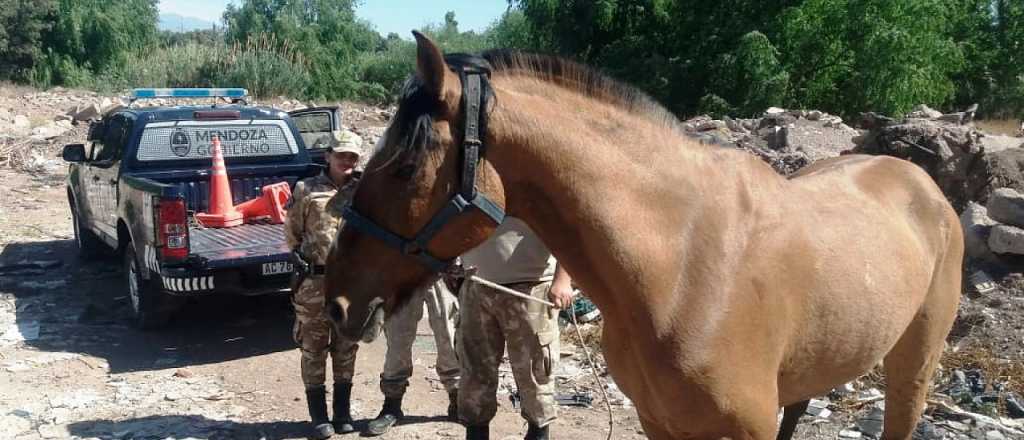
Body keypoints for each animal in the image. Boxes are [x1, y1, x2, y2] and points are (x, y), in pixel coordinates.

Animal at [323, 31, 962, 440]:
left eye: (405, 167)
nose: (338, 301)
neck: (679, 270)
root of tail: (922, 183)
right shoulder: (662, 424)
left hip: (913, 366)